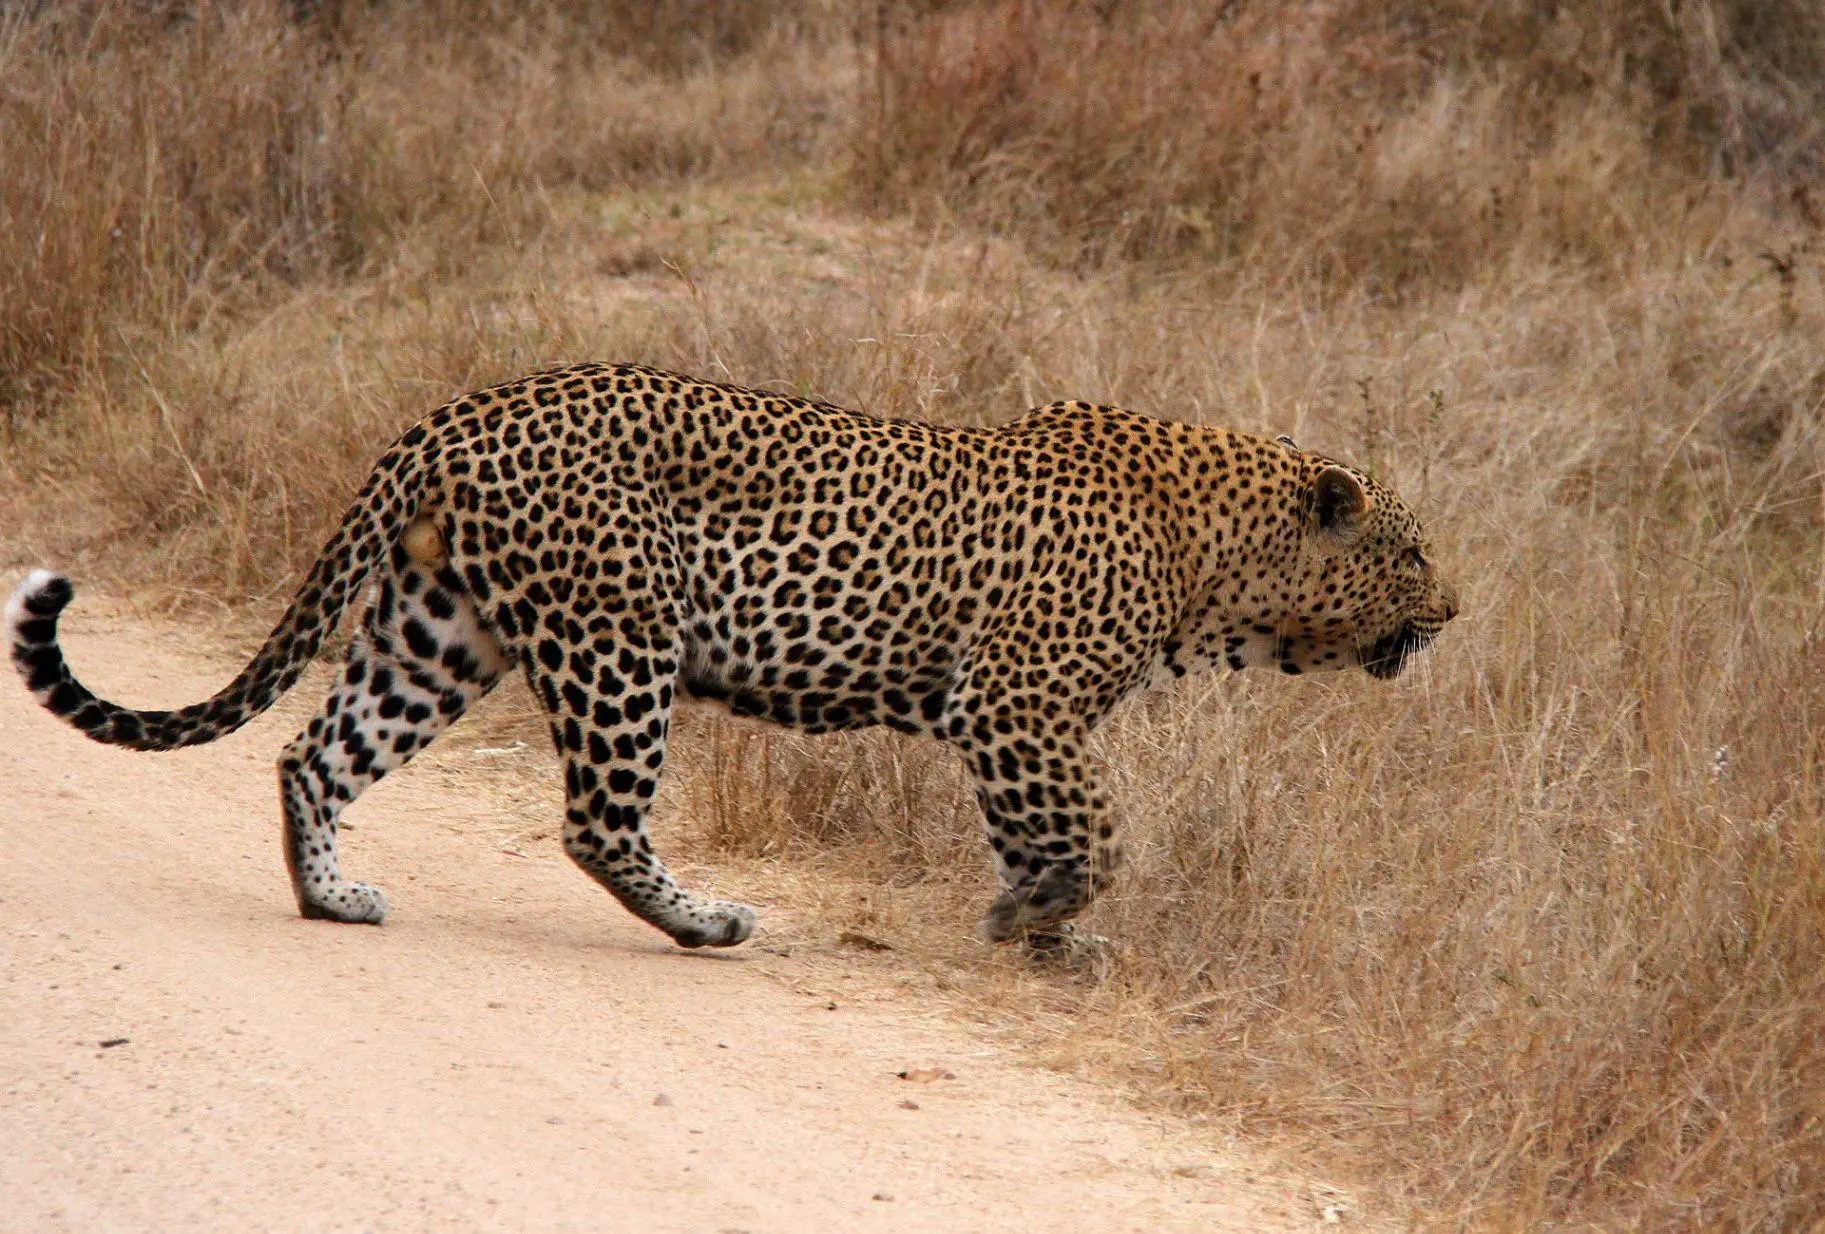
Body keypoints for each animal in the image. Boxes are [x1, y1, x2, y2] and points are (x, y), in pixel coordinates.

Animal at [6, 363, 1457, 950]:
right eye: (1410, 550)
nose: (1454, 609)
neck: (1215, 564)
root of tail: (460, 409)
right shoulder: (1017, 701)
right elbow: (1099, 831)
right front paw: (1039, 915)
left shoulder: (1005, 723)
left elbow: (1039, 828)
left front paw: (1030, 924)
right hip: (617, 641)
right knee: (596, 820)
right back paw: (703, 921)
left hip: (438, 632)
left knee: (314, 752)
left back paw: (333, 899)